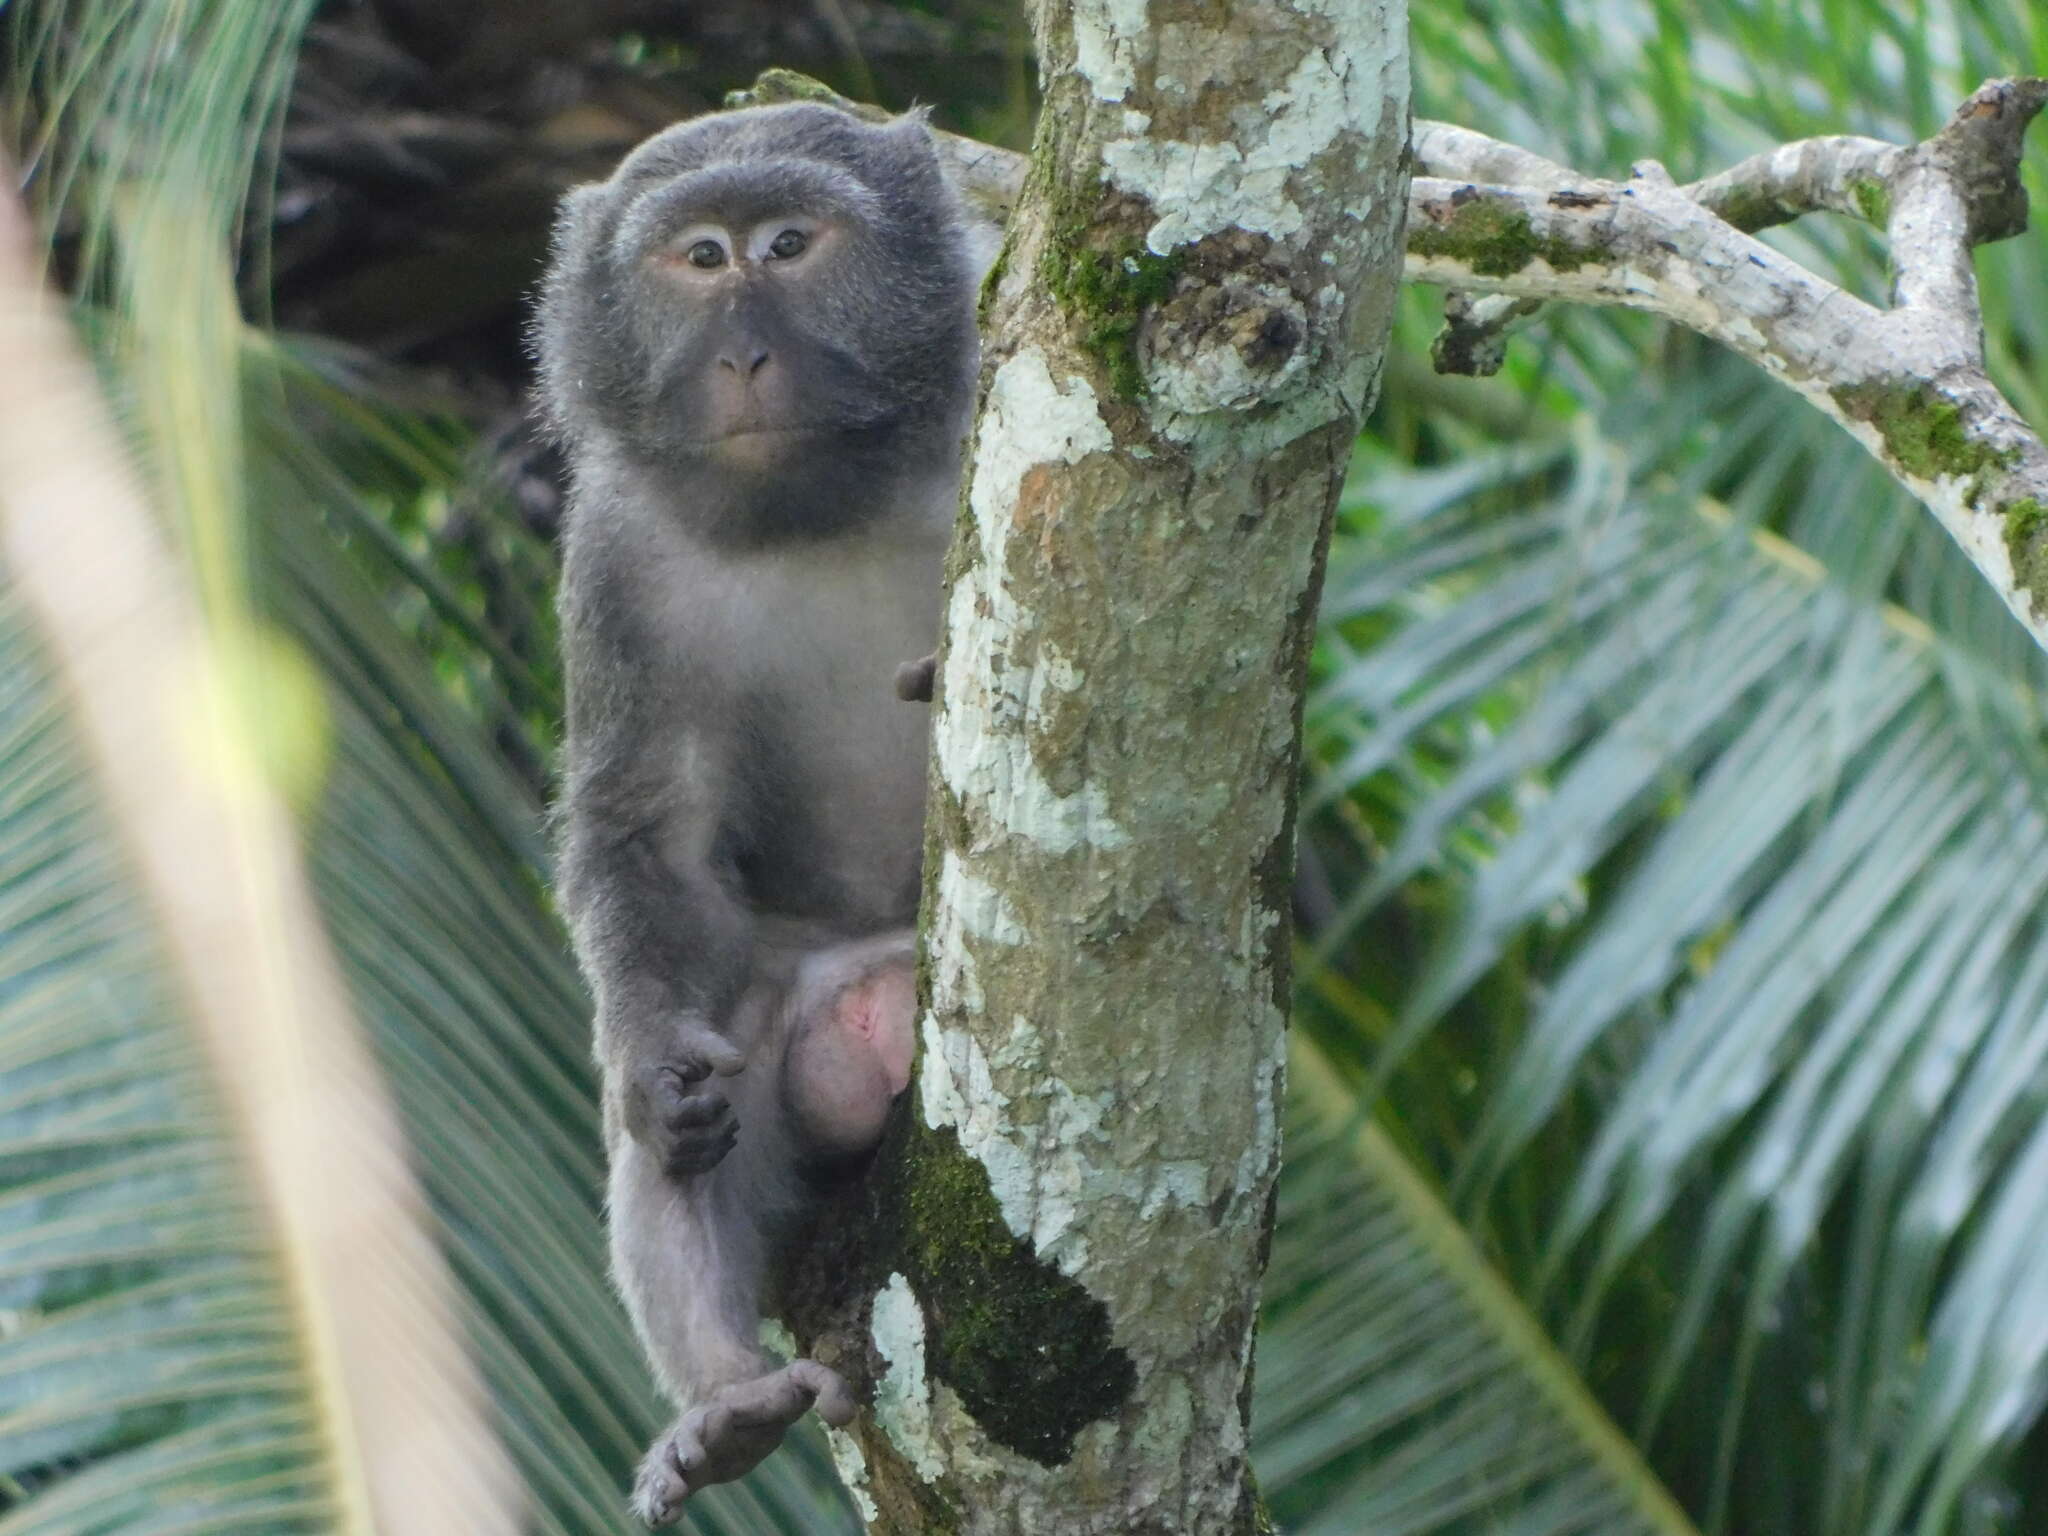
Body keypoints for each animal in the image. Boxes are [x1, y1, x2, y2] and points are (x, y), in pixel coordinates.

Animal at [528, 105, 974, 1531]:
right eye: (699, 256)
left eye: (787, 244)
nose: (742, 351)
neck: (812, 505)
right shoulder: (613, 556)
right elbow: (644, 834)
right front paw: (651, 1066)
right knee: (689, 1122)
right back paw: (725, 1401)